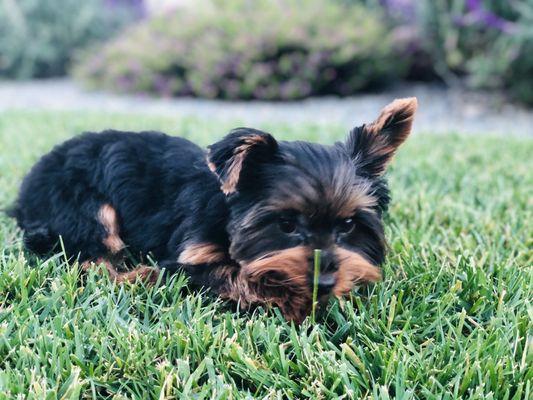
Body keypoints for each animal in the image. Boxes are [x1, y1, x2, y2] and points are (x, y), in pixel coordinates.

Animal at [8, 98, 416, 324]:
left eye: (347, 225)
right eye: (285, 224)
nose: (326, 281)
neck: (226, 214)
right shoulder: (192, 257)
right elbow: (239, 277)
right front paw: (296, 303)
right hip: (81, 202)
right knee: (93, 258)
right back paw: (138, 275)